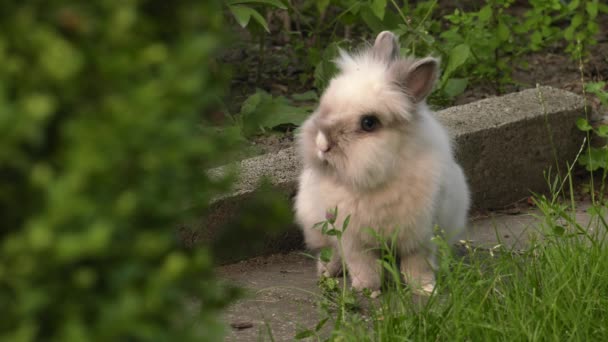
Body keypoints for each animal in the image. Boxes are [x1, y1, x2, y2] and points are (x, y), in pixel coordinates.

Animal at [294, 31, 470, 294]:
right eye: (325, 105)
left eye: (369, 123)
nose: (321, 144)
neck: (381, 177)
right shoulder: (352, 238)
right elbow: (363, 265)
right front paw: (369, 289)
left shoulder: (420, 235)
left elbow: (417, 264)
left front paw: (425, 289)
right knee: (330, 253)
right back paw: (327, 272)